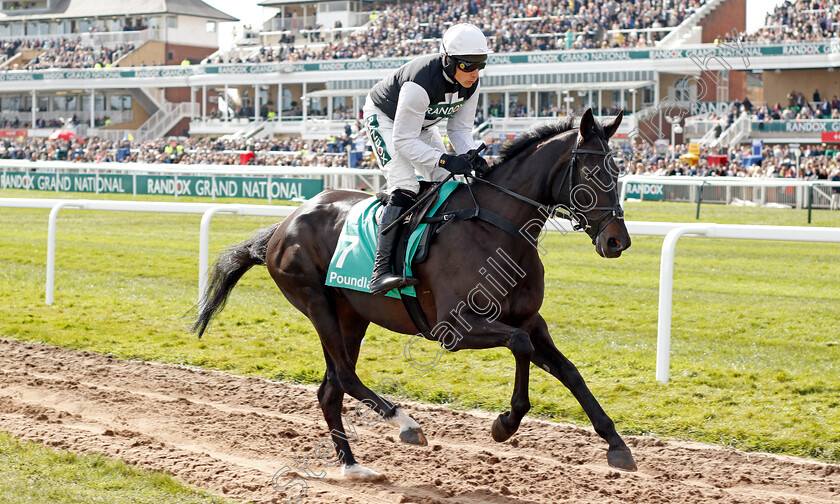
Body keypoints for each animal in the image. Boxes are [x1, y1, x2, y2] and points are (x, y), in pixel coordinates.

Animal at [192, 108, 636, 478]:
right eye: (593, 173)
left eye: (619, 172)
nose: (618, 241)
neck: (497, 228)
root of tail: (284, 224)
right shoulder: (453, 328)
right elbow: (520, 346)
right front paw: (505, 423)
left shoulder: (530, 319)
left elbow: (569, 371)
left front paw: (616, 445)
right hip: (316, 303)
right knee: (345, 376)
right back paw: (405, 424)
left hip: (351, 315)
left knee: (329, 390)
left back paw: (352, 467)